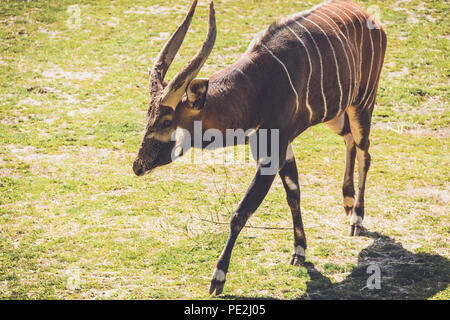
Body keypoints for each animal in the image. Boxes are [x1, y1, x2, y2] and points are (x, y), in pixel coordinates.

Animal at [133, 0, 386, 296]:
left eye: (166, 121)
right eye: (148, 116)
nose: (138, 166)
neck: (256, 87)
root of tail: (370, 18)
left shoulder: (272, 152)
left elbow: (240, 212)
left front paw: (218, 278)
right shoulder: (278, 146)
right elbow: (293, 192)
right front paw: (299, 251)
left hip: (362, 104)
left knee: (365, 152)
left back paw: (356, 217)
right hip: (336, 115)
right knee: (349, 141)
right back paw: (347, 201)